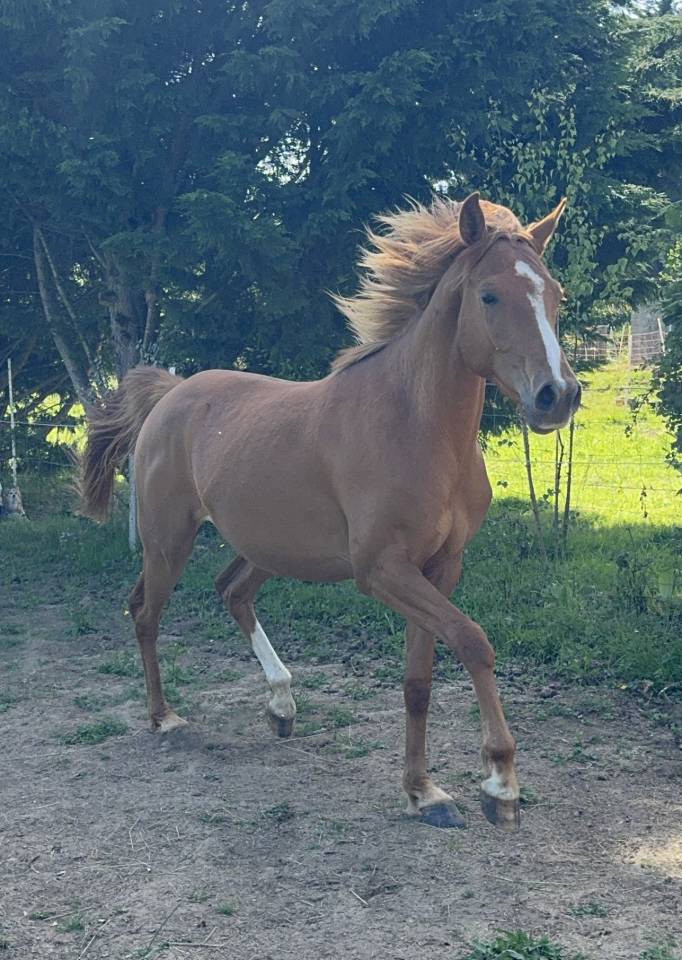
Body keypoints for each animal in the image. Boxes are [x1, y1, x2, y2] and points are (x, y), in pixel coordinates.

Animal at [81, 192, 580, 832]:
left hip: (268, 545)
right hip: (169, 540)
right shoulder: (382, 571)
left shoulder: (440, 568)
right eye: (489, 295)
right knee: (146, 612)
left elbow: (418, 680)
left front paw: (423, 793)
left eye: (556, 294)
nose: (557, 396)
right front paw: (500, 784)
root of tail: (171, 393)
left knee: (231, 591)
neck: (416, 428)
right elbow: (473, 641)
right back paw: (165, 718)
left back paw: (281, 703)